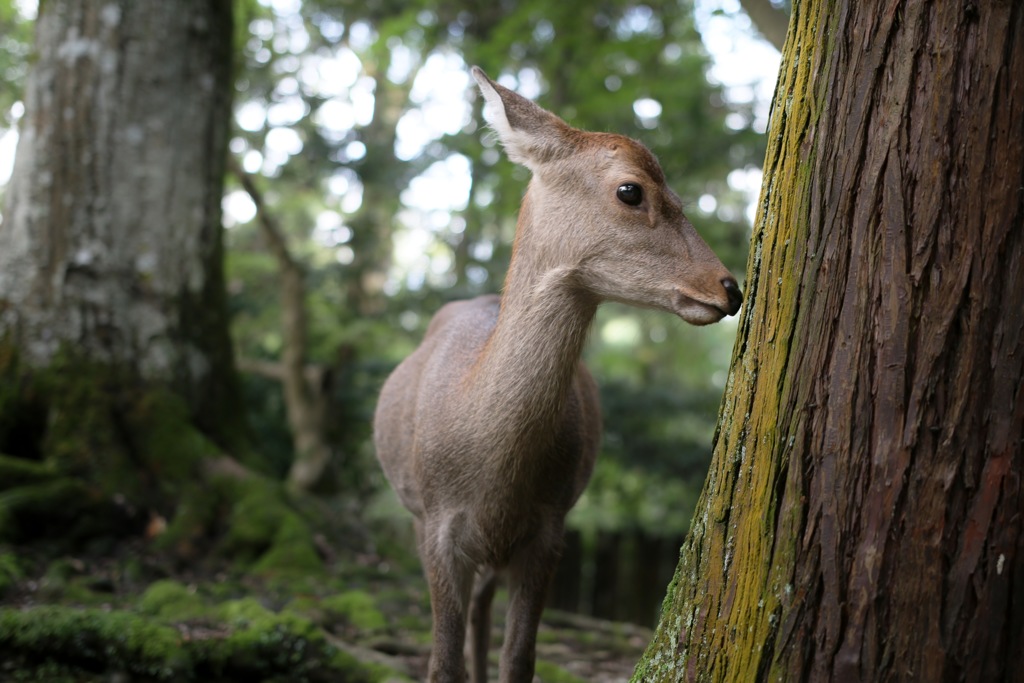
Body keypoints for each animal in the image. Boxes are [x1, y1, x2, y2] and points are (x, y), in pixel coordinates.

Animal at [372, 65, 741, 683]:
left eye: (680, 195)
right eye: (631, 189)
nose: (729, 287)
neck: (493, 475)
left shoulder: (550, 527)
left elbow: (519, 657)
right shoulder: (436, 523)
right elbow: (441, 661)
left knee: (483, 613)